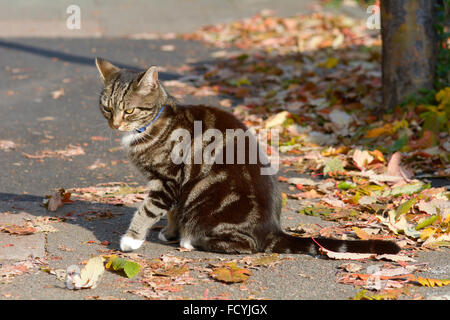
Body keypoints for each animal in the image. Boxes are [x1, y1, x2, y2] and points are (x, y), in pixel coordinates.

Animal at [96, 57, 400, 256]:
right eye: (107, 108)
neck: (155, 122)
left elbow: (148, 209)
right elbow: (171, 211)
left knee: (247, 247)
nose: (114, 124)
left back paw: (190, 240)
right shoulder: (173, 186)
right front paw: (169, 232)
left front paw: (132, 239)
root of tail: (273, 229)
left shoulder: (167, 180)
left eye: (130, 110)